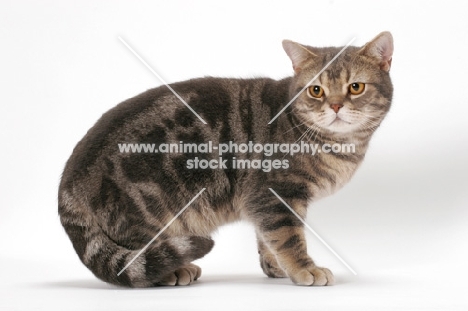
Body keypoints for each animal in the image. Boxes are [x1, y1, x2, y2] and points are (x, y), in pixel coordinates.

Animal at [59, 31, 394, 288]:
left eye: (355, 87)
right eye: (316, 90)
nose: (335, 105)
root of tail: (68, 180)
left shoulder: (263, 202)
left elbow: (267, 237)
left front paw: (275, 266)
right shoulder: (276, 194)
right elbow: (288, 237)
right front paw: (303, 269)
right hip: (146, 211)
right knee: (137, 259)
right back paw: (174, 270)